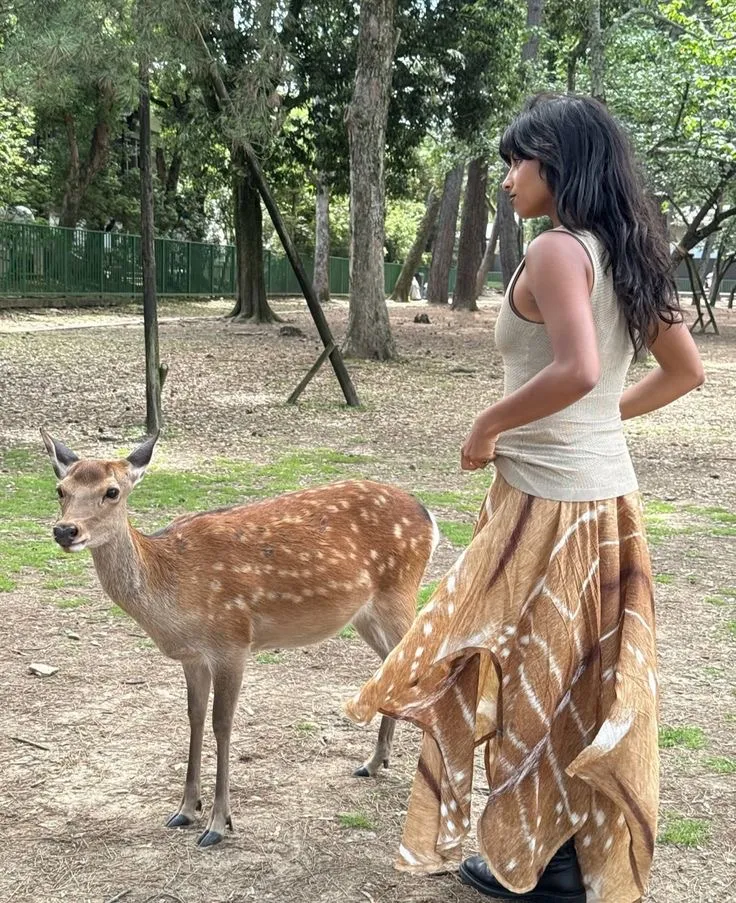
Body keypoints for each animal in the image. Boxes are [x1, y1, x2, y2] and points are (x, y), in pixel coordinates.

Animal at [41, 429, 439, 848]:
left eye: (112, 491)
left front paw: (218, 823)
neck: (172, 589)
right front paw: (185, 809)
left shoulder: (232, 641)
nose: (65, 530)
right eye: (60, 489)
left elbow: (222, 723)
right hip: (365, 612)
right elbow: (194, 717)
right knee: (394, 664)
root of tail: (428, 515)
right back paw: (374, 762)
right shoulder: (193, 656)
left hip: (400, 591)